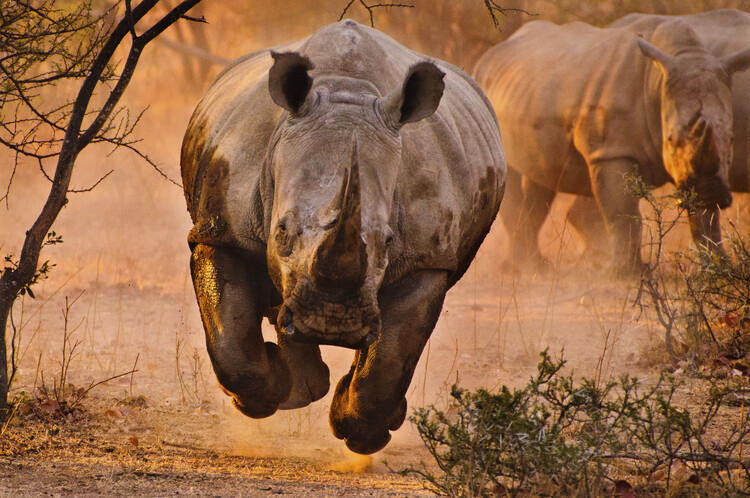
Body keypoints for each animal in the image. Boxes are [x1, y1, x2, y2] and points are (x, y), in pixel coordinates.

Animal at [180, 19, 508, 456]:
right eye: (281, 231)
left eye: (388, 241)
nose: (332, 322)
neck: (346, 91)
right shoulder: (219, 230)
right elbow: (231, 343)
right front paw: (266, 395)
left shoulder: (427, 259)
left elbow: (390, 359)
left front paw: (362, 432)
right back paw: (301, 388)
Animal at [476, 15, 750, 274]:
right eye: (671, 139)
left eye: (731, 138)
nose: (712, 191)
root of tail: (491, 52)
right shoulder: (611, 151)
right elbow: (623, 213)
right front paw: (628, 274)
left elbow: (705, 218)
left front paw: (720, 269)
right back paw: (526, 269)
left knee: (542, 177)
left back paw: (536, 267)